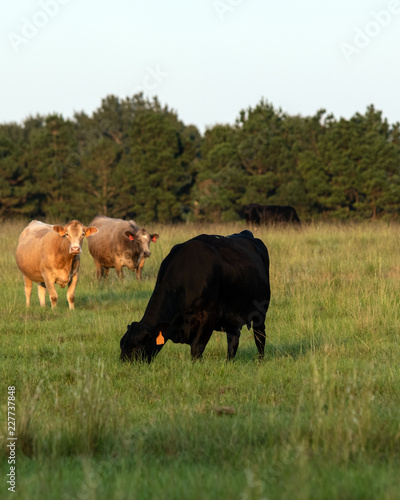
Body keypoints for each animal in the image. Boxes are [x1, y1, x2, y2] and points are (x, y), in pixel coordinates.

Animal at [120, 230, 270, 364]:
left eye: (138, 348)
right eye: (121, 346)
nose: (124, 365)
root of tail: (247, 234)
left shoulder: (210, 315)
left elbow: (197, 348)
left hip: (261, 310)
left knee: (260, 336)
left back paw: (260, 362)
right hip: (232, 315)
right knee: (233, 339)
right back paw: (229, 363)